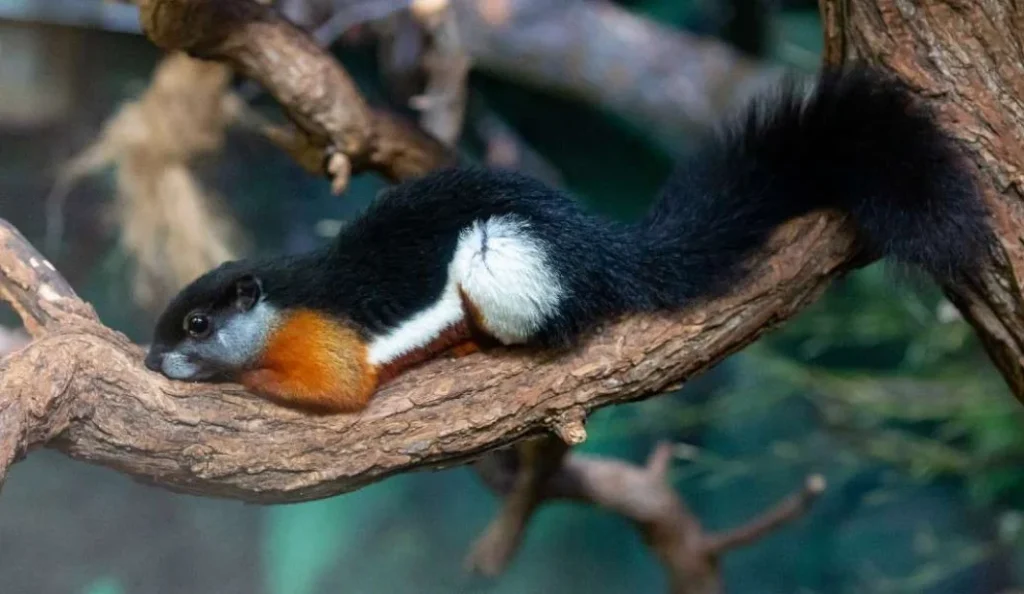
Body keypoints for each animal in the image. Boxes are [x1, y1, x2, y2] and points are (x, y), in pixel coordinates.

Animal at [143, 66, 995, 414]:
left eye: (199, 324)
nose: (154, 360)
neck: (278, 303)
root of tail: (605, 253)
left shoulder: (322, 343)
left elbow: (333, 390)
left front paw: (241, 380)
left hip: (499, 259)